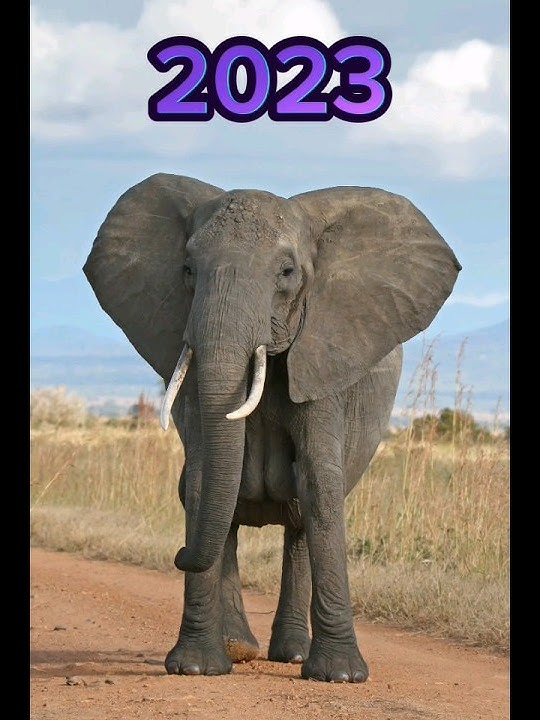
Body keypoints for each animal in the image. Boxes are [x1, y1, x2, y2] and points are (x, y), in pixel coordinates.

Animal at [83, 172, 461, 683]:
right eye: (187, 270)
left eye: (286, 273)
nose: (177, 555)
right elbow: (201, 481)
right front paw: (196, 668)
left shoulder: (325, 356)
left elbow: (320, 482)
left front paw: (340, 677)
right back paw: (239, 648)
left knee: (301, 516)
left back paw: (292, 656)